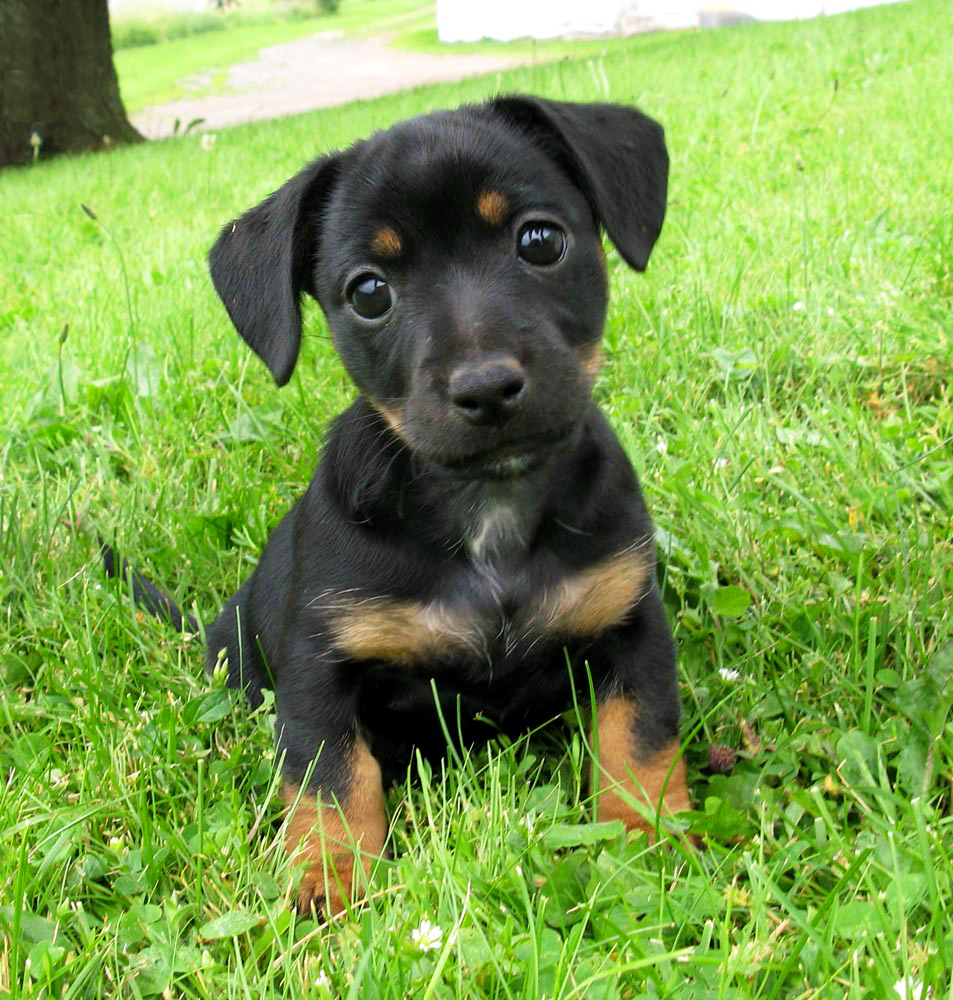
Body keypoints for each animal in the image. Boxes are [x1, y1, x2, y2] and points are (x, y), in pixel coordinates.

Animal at [201, 95, 688, 916]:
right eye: (368, 291)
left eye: (540, 241)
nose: (486, 388)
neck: (488, 510)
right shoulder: (318, 669)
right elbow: (331, 779)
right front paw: (328, 881)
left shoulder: (631, 620)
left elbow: (639, 740)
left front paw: (646, 844)